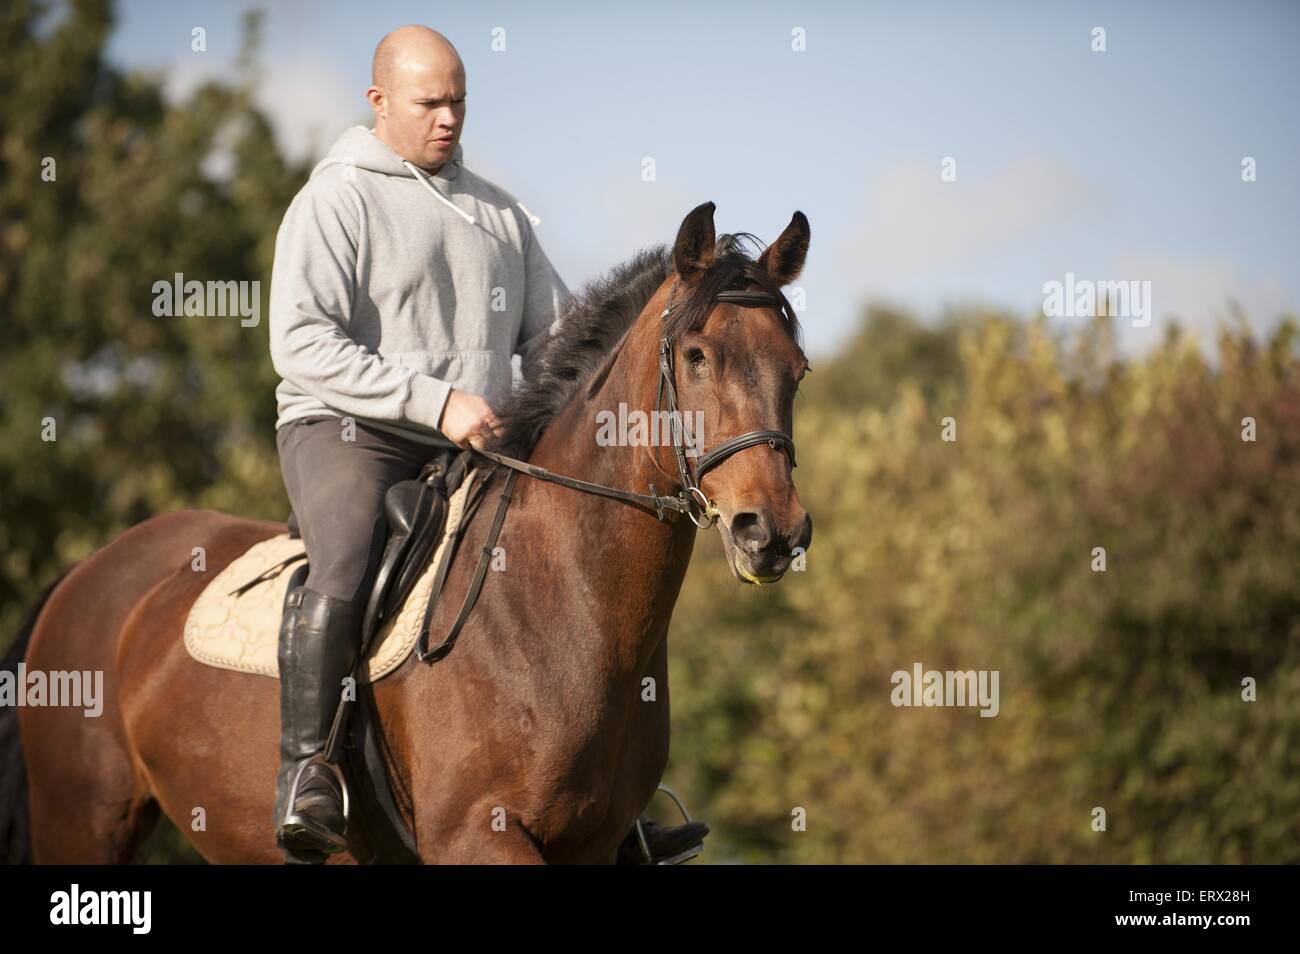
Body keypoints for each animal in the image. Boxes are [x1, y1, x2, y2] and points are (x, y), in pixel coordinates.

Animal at [2, 201, 811, 868]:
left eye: (797, 369)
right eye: (697, 356)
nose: (771, 531)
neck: (560, 602)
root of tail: (92, 573)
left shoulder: (589, 847)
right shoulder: (479, 836)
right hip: (85, 820)